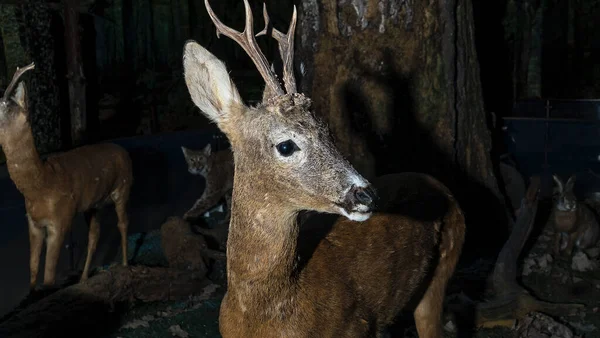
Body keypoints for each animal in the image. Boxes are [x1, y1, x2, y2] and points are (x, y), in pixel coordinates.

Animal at [0, 62, 132, 288]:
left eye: (6, 107)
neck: (40, 185)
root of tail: (123, 151)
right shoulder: (33, 223)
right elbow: (33, 269)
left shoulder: (60, 220)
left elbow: (49, 275)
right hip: (93, 205)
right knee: (94, 235)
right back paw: (84, 278)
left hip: (123, 188)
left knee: (122, 224)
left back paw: (124, 266)